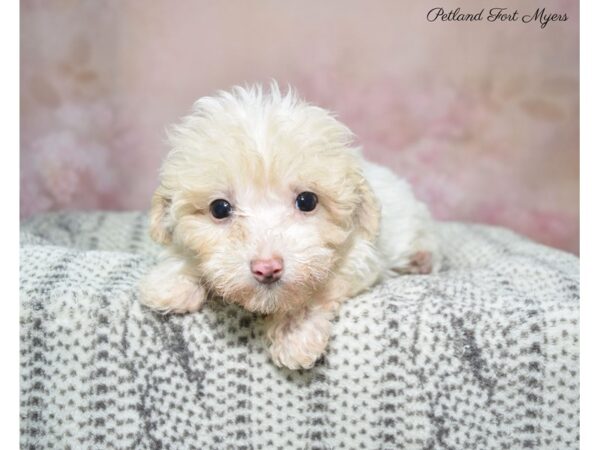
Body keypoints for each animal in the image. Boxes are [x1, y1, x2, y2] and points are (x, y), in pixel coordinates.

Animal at [141, 83, 440, 370]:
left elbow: (314, 290)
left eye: (307, 201)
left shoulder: (361, 256)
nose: (267, 268)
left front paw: (294, 332)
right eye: (219, 208)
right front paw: (171, 283)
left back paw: (421, 260)